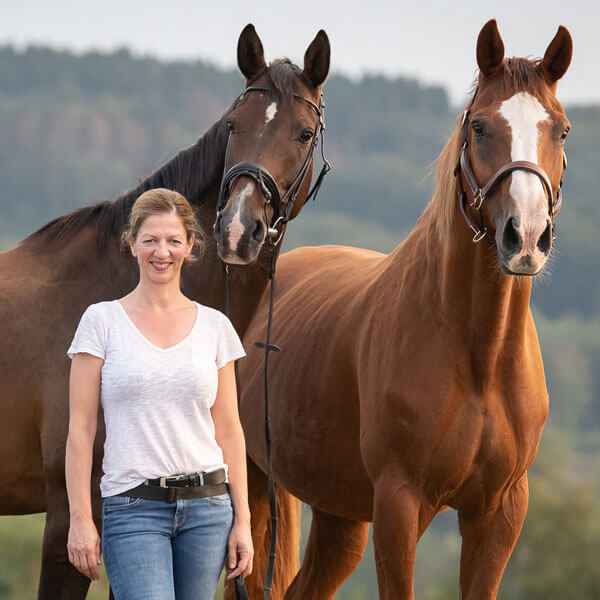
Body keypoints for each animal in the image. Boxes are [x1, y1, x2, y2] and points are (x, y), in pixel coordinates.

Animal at [238, 19, 572, 600]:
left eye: (562, 131)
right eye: (479, 126)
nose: (526, 237)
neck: (479, 359)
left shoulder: (499, 513)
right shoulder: (400, 505)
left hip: (340, 516)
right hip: (257, 490)